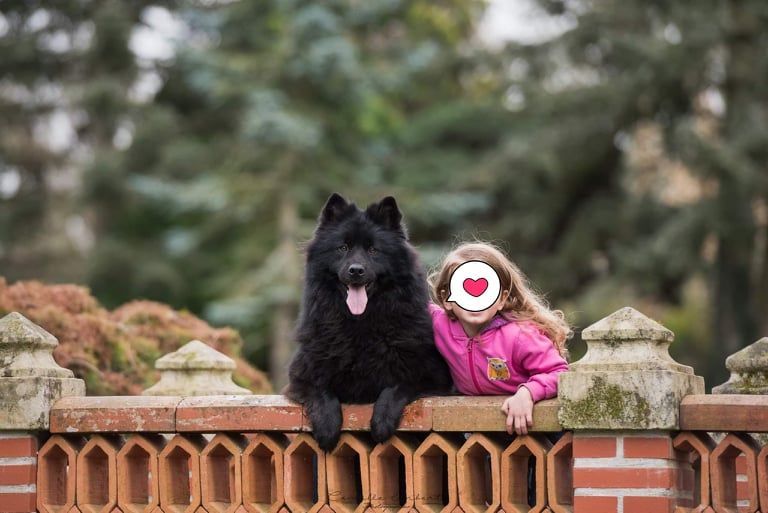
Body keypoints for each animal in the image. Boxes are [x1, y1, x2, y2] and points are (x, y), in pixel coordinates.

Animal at [288, 194, 456, 450]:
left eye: (373, 250)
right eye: (343, 248)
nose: (356, 270)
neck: (361, 324)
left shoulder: (431, 375)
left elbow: (397, 387)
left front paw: (381, 422)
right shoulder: (301, 376)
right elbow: (321, 393)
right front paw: (327, 427)